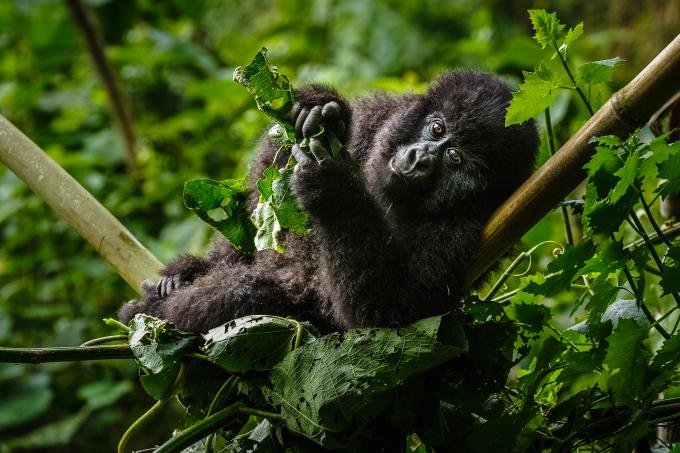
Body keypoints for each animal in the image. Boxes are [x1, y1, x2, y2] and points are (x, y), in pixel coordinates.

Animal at [119, 70, 540, 332]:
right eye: (437, 128)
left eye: (455, 160)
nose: (420, 158)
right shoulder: (383, 114)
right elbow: (266, 181)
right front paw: (321, 109)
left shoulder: (466, 230)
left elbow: (385, 311)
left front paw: (331, 188)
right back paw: (183, 276)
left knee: (248, 292)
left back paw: (151, 313)